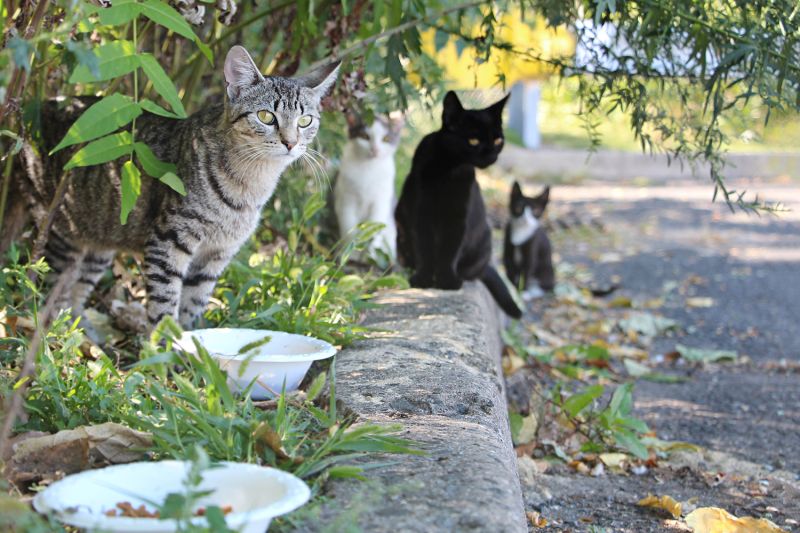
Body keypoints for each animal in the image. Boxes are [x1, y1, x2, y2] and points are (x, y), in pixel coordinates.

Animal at [15, 45, 340, 328]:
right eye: (265, 116)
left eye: (305, 121)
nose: (291, 143)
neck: (250, 186)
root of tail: (40, 107)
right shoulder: (169, 240)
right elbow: (165, 302)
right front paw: (166, 349)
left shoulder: (216, 255)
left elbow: (193, 304)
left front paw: (192, 347)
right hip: (61, 233)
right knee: (49, 296)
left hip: (99, 240)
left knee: (75, 294)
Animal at [332, 112, 404, 260]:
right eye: (365, 136)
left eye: (386, 138)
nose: (375, 149)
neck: (368, 168)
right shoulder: (346, 200)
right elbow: (348, 228)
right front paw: (349, 254)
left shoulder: (381, 203)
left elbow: (373, 230)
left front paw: (368, 255)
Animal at [396, 90, 524, 320]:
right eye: (473, 140)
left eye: (498, 140)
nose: (491, 155)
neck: (449, 170)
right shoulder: (420, 214)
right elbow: (424, 248)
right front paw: (423, 279)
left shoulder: (458, 217)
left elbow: (450, 249)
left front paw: (447, 280)